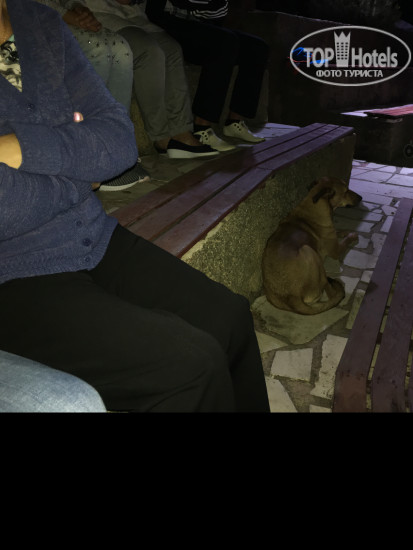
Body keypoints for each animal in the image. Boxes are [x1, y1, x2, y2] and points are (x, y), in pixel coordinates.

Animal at [262, 176, 362, 315]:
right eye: (346, 191)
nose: (361, 198)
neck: (315, 205)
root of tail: (292, 298)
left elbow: (339, 231)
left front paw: (345, 231)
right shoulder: (336, 250)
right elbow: (345, 241)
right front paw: (352, 235)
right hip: (309, 251)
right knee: (328, 289)